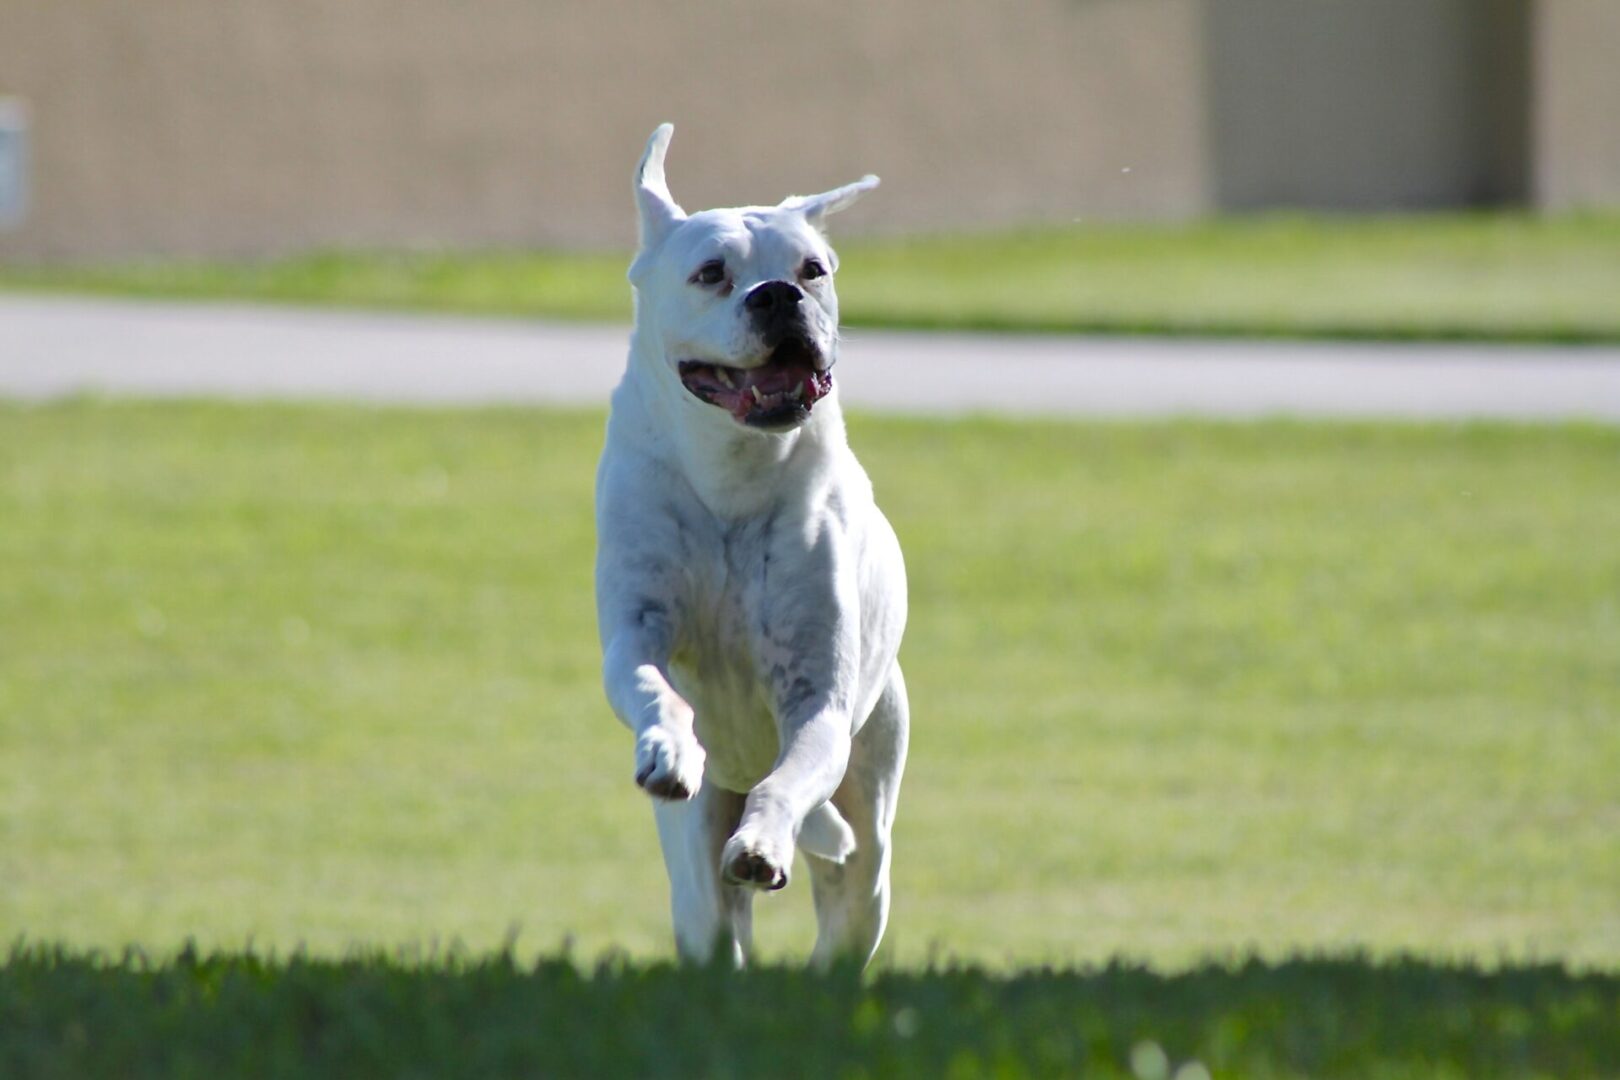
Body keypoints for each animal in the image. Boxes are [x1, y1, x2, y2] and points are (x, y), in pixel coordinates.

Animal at [592, 127, 907, 971]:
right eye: (711, 272)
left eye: (812, 269)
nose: (776, 296)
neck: (734, 473)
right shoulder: (636, 631)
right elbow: (652, 687)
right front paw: (670, 748)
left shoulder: (818, 700)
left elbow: (788, 778)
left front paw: (763, 842)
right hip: (696, 879)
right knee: (713, 922)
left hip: (869, 836)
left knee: (847, 898)